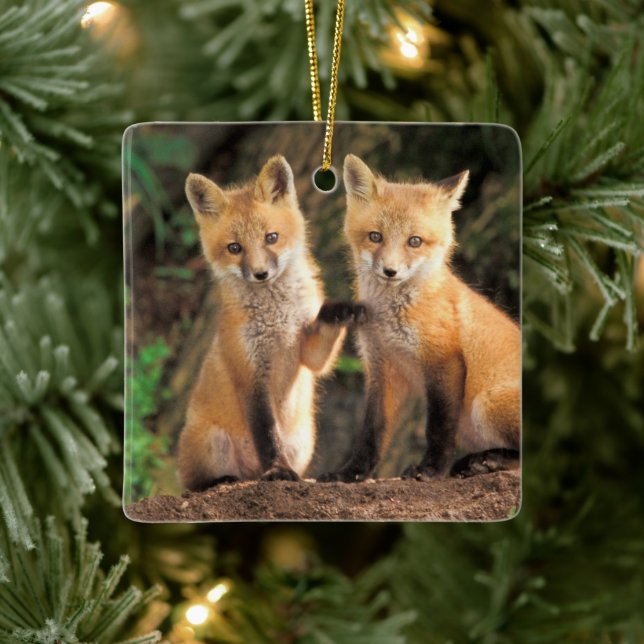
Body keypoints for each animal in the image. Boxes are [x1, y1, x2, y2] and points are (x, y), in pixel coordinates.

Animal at [178, 155, 364, 490]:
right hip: (212, 442)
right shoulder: (250, 374)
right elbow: (267, 436)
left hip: (304, 441)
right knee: (193, 484)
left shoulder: (308, 353)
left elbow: (321, 345)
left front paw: (340, 310)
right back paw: (223, 481)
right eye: (234, 248)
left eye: (271, 238)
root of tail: (250, 474)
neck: (278, 319)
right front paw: (278, 470)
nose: (261, 273)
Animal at [320, 154, 520, 482]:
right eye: (375, 237)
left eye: (414, 241)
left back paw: (487, 461)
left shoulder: (443, 360)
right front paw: (351, 473)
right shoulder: (382, 367)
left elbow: (438, 428)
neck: (390, 320)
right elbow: (371, 432)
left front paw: (430, 469)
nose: (390, 271)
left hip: (486, 403)